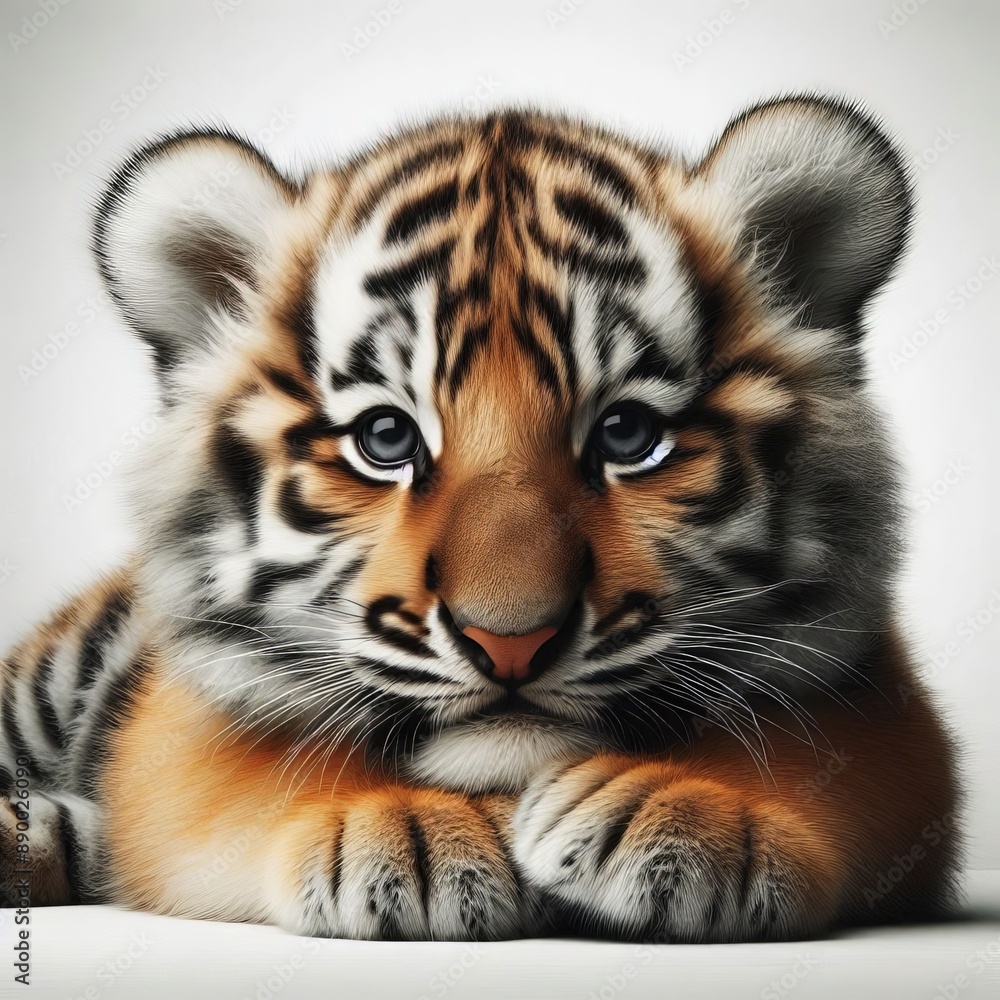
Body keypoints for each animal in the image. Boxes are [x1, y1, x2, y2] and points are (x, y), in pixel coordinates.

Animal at [0, 95, 961, 943]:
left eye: (627, 434)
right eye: (386, 438)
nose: (511, 642)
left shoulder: (884, 707)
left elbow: (824, 756)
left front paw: (677, 815)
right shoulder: (176, 733)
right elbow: (251, 767)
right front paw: (407, 835)